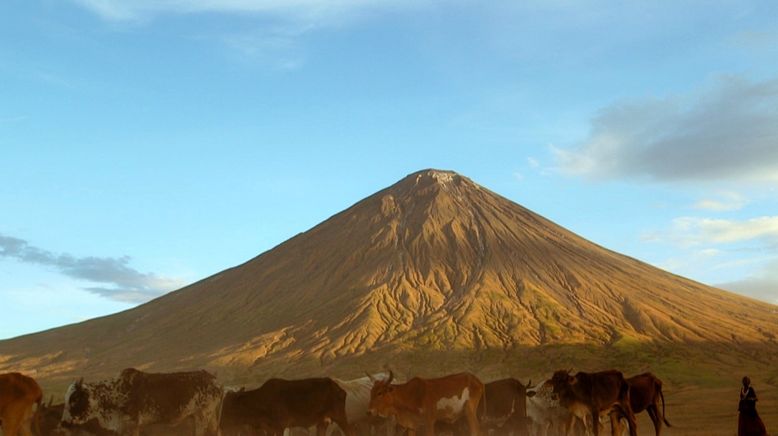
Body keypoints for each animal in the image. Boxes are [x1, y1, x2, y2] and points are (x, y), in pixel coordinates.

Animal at [218, 378, 352, 436]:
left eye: (229, 406)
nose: (221, 425)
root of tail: (341, 389)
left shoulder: (280, 426)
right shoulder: (269, 429)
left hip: (340, 417)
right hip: (323, 422)